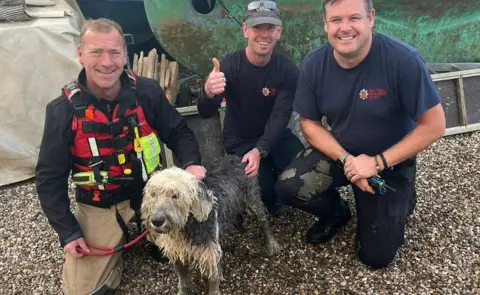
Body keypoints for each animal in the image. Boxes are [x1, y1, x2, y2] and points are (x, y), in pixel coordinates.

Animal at [140, 156, 282, 294]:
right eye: (153, 194)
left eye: (175, 195)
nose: (156, 220)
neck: (187, 227)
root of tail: (239, 158)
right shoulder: (178, 253)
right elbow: (184, 279)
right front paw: (183, 291)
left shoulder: (210, 254)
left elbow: (213, 279)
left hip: (252, 200)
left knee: (263, 221)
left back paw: (272, 244)